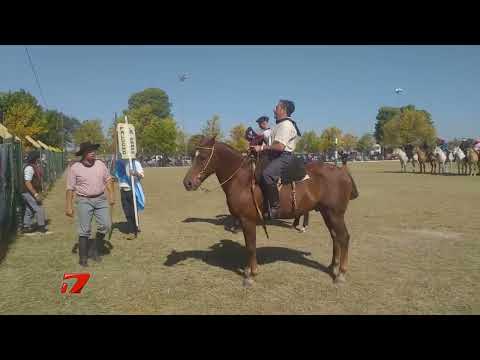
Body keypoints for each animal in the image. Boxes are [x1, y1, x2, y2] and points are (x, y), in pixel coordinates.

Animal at [184, 138, 360, 286]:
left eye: (203, 157)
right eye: (194, 155)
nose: (187, 183)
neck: (241, 179)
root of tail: (343, 171)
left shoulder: (247, 221)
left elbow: (251, 247)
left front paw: (251, 275)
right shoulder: (243, 221)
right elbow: (248, 245)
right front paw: (248, 270)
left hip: (335, 214)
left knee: (344, 237)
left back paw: (341, 274)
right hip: (326, 213)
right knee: (335, 237)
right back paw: (332, 266)